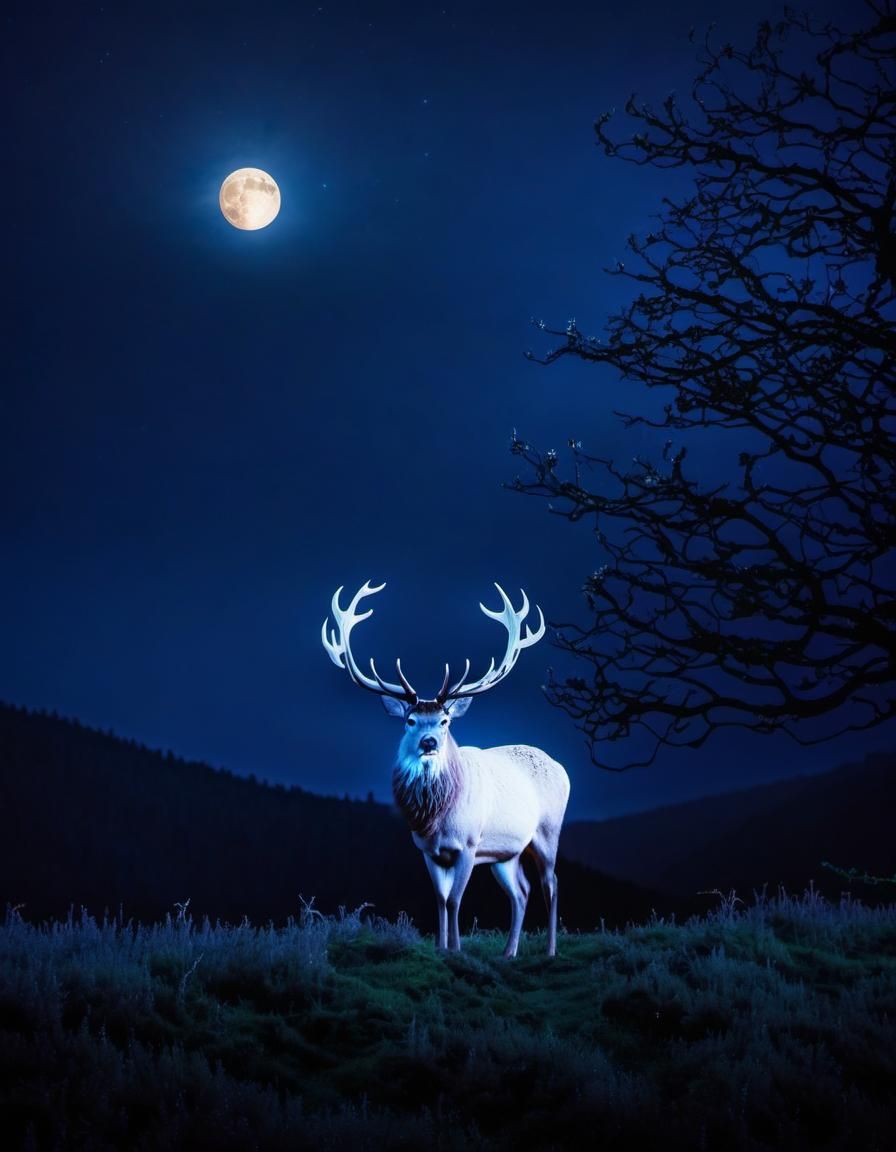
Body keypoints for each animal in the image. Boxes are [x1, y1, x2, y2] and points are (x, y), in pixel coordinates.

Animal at [321, 580, 570, 957]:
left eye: (445, 720)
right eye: (410, 720)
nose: (428, 742)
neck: (435, 819)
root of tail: (561, 768)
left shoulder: (467, 843)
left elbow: (455, 900)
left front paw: (456, 950)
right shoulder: (427, 850)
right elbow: (440, 899)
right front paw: (441, 949)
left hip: (547, 831)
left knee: (551, 882)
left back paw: (550, 950)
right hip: (505, 852)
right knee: (521, 890)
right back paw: (508, 952)